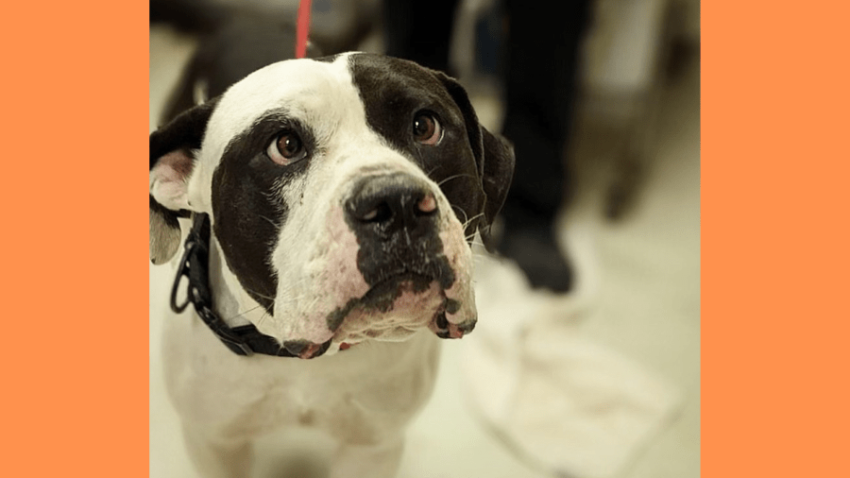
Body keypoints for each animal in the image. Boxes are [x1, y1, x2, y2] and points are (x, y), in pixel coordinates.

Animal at [150, 51, 514, 477]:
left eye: (426, 126)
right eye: (285, 145)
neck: (300, 361)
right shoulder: (215, 444)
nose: (396, 202)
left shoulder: (373, 448)